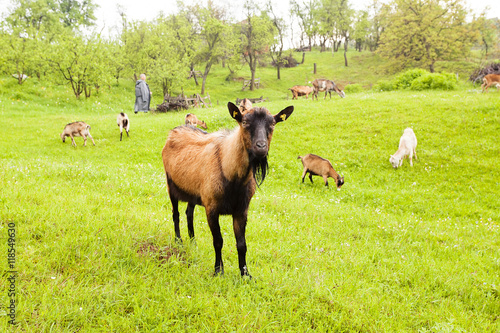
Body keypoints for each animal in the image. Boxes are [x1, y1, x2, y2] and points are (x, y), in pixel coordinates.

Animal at [161, 100, 292, 274]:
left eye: (272, 124)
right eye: (245, 122)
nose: (261, 147)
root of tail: (174, 131)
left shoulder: (241, 210)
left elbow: (242, 245)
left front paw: (245, 274)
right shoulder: (211, 207)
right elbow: (218, 241)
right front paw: (218, 270)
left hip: (193, 193)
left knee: (189, 213)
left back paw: (193, 242)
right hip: (171, 185)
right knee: (176, 214)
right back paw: (179, 241)